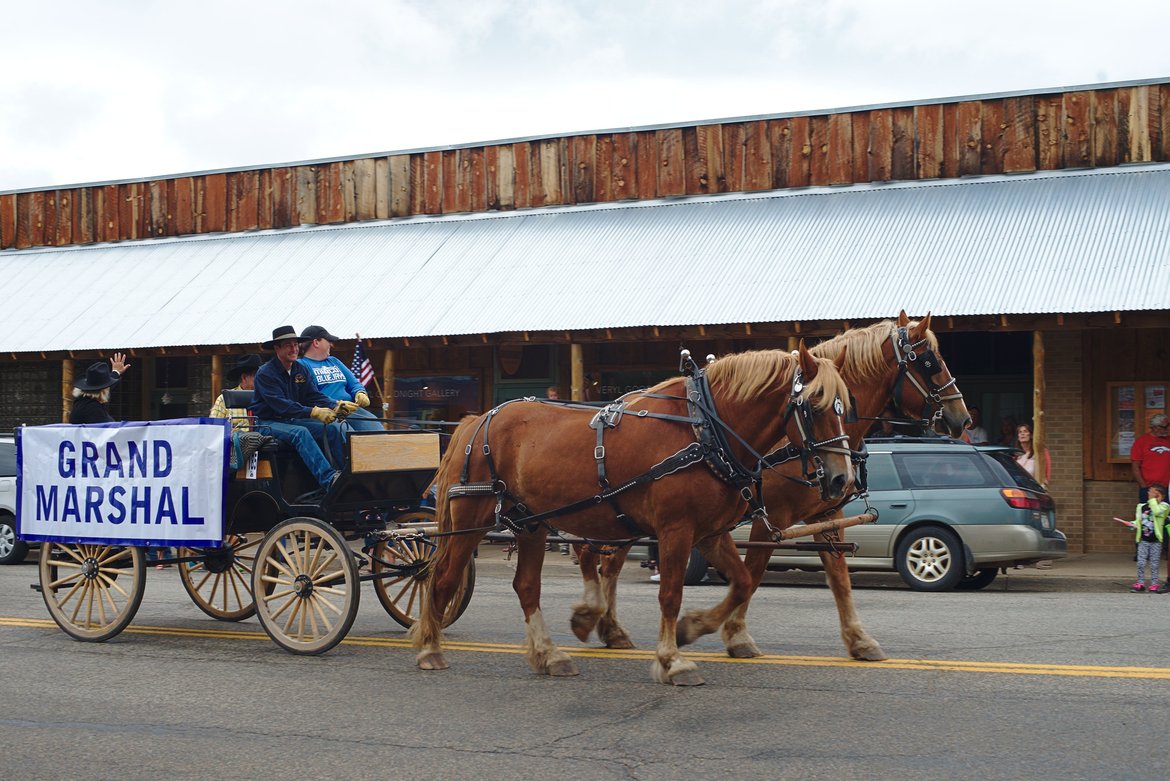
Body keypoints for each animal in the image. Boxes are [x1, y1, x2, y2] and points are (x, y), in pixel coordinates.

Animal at [411, 341, 851, 682]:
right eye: (814, 405)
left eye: (845, 407)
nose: (841, 479)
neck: (704, 428)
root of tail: (477, 419)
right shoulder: (676, 529)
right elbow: (670, 594)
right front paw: (672, 660)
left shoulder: (709, 532)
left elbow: (742, 582)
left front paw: (694, 628)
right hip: (473, 518)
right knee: (444, 577)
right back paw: (430, 648)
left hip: (531, 524)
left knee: (526, 586)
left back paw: (549, 654)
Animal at [573, 310, 968, 659]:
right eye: (931, 362)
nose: (961, 418)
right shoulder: (771, 517)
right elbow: (753, 572)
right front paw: (735, 635)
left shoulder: (826, 515)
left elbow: (839, 578)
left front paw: (859, 639)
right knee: (606, 562)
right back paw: (603, 622)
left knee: (606, 562)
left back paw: (607, 626)